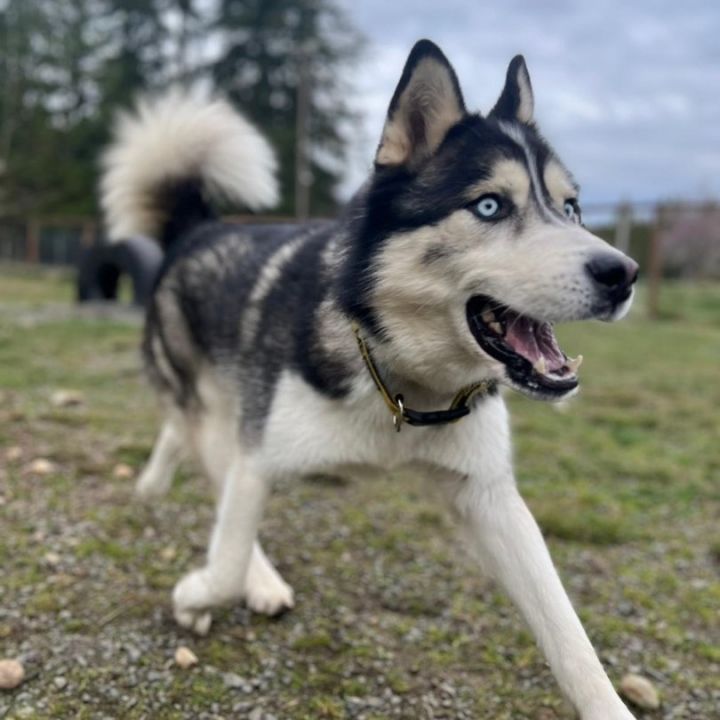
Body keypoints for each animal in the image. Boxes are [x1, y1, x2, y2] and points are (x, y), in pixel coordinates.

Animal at [101, 40, 640, 720]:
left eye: (571, 208)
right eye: (489, 206)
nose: (623, 273)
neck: (402, 383)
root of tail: (199, 228)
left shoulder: (490, 498)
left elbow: (571, 638)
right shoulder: (259, 455)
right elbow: (223, 562)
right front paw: (194, 596)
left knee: (184, 439)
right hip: (221, 411)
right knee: (199, 450)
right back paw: (245, 565)